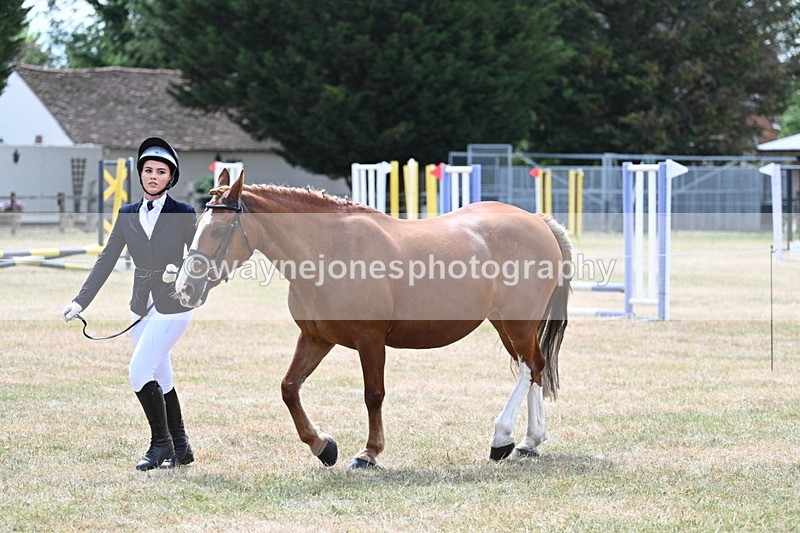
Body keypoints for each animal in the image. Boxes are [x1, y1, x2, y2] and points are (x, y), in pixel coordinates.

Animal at [174, 169, 572, 468]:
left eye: (217, 230)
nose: (185, 288)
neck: (329, 250)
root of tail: (536, 220)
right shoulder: (316, 339)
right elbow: (289, 388)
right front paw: (323, 446)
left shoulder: (370, 340)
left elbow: (373, 394)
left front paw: (368, 453)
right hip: (504, 323)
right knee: (535, 367)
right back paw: (529, 442)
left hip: (517, 322)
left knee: (528, 367)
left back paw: (502, 437)